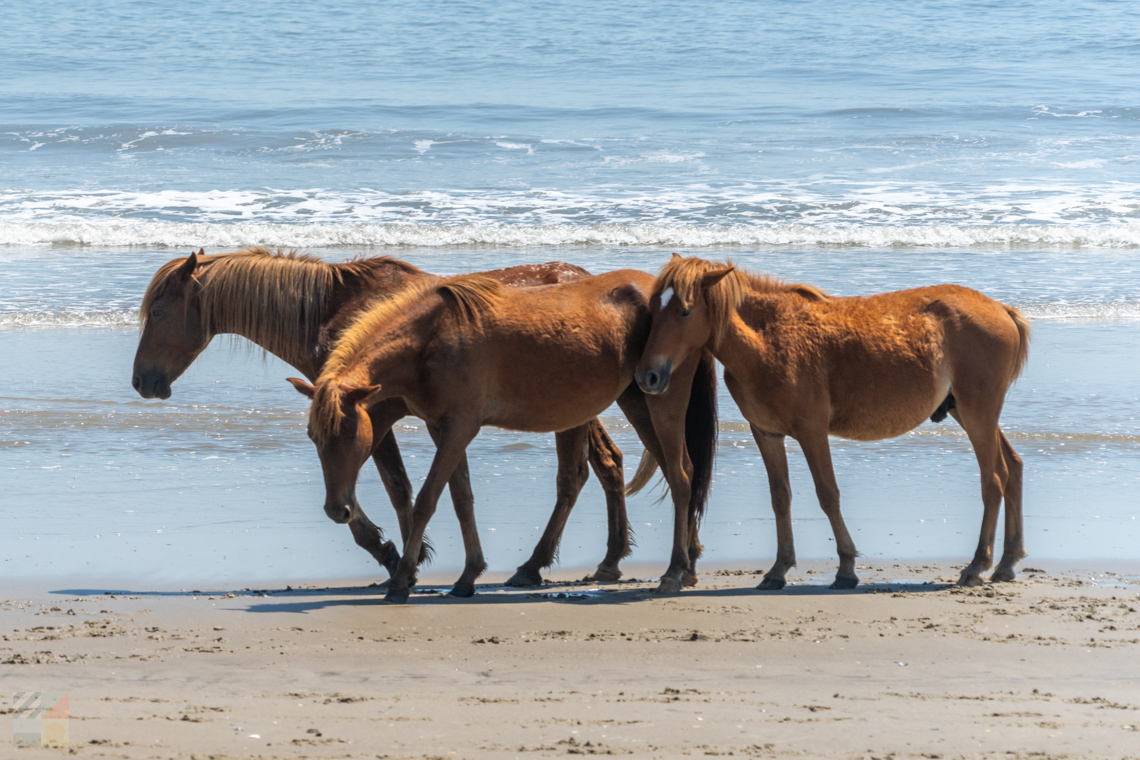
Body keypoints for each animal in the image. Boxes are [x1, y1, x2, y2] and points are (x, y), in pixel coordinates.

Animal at [132, 247, 637, 586]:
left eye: (157, 310)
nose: (141, 381)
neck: (335, 312)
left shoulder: (371, 412)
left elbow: (394, 486)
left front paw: (396, 557)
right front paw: (404, 556)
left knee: (577, 476)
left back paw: (537, 565)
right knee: (607, 464)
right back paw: (609, 559)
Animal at [288, 269, 719, 602]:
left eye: (349, 435)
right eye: (313, 437)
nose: (337, 510)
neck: (430, 338)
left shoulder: (460, 427)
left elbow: (428, 500)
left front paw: (401, 581)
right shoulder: (442, 428)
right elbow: (461, 498)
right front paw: (468, 575)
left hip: (660, 402)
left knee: (680, 473)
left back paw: (674, 571)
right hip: (636, 400)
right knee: (675, 471)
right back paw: (687, 562)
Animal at [634, 254, 1030, 589]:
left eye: (685, 311)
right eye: (652, 309)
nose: (646, 376)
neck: (769, 339)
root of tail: (1002, 310)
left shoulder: (812, 432)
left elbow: (828, 495)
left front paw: (846, 568)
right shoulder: (767, 434)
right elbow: (781, 497)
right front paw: (778, 569)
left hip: (978, 415)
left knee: (993, 481)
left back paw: (977, 566)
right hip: (969, 413)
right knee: (1012, 468)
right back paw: (1007, 562)